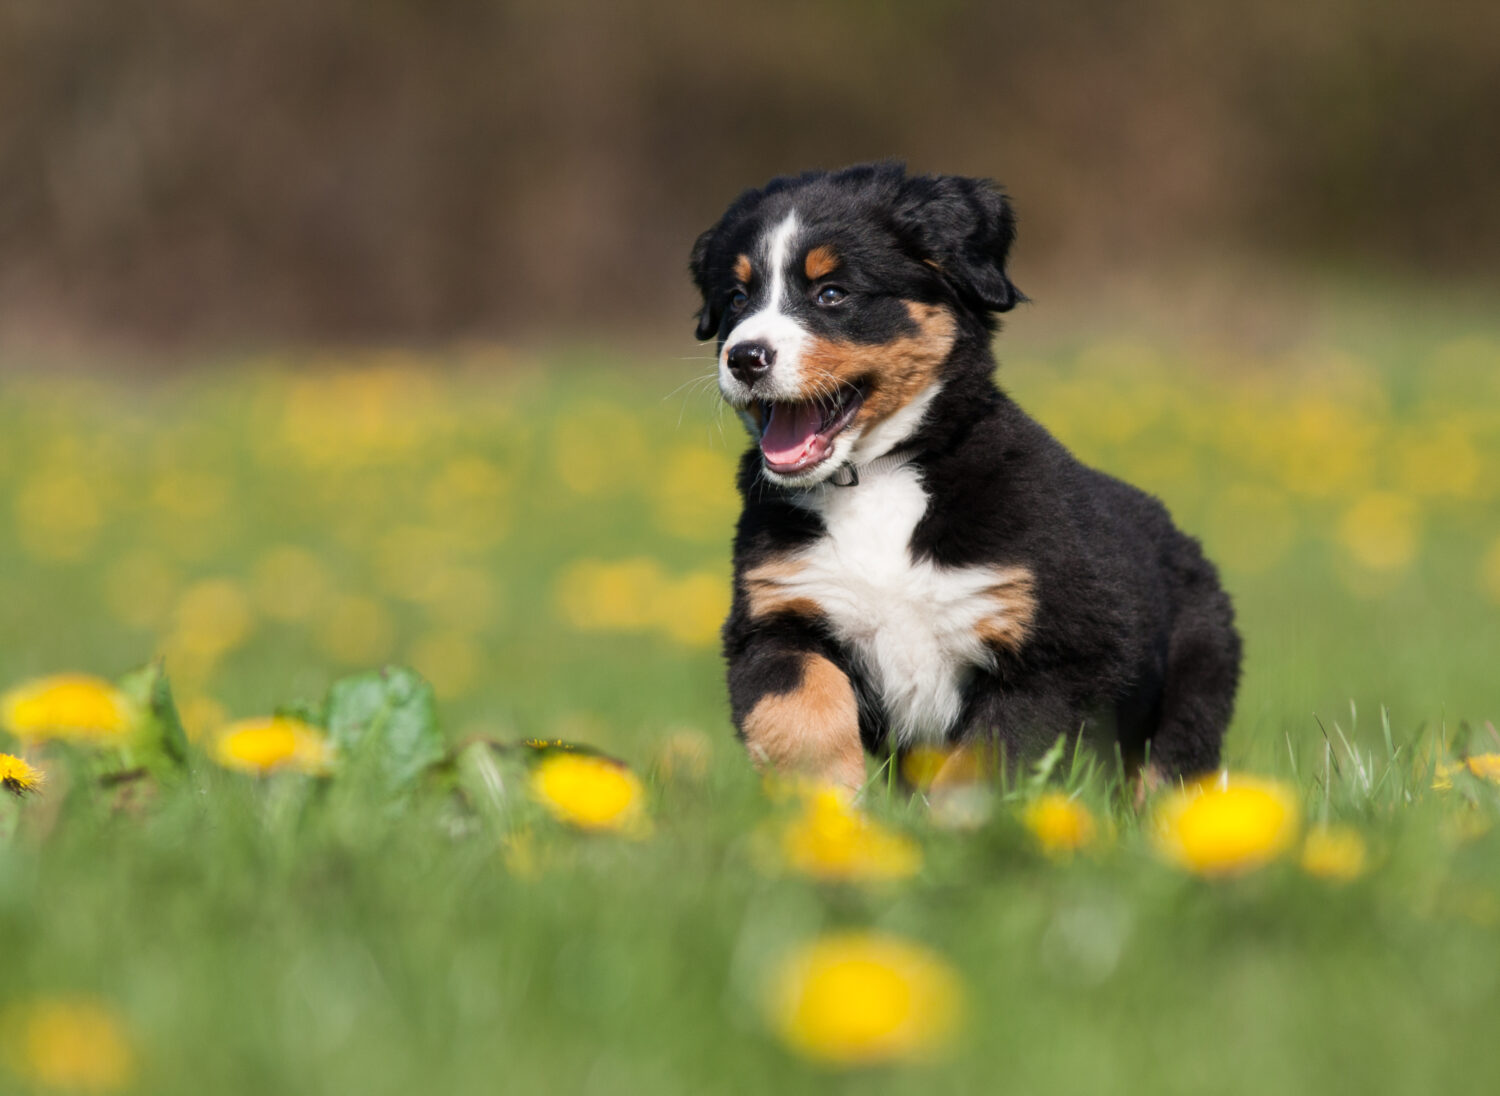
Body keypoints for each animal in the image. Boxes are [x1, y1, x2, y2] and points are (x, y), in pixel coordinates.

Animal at [690, 162, 1242, 791]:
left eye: (832, 293)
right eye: (736, 298)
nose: (745, 357)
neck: (877, 477)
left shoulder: (1057, 652)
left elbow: (991, 759)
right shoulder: (777, 613)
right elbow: (799, 712)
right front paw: (824, 801)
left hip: (1194, 680)